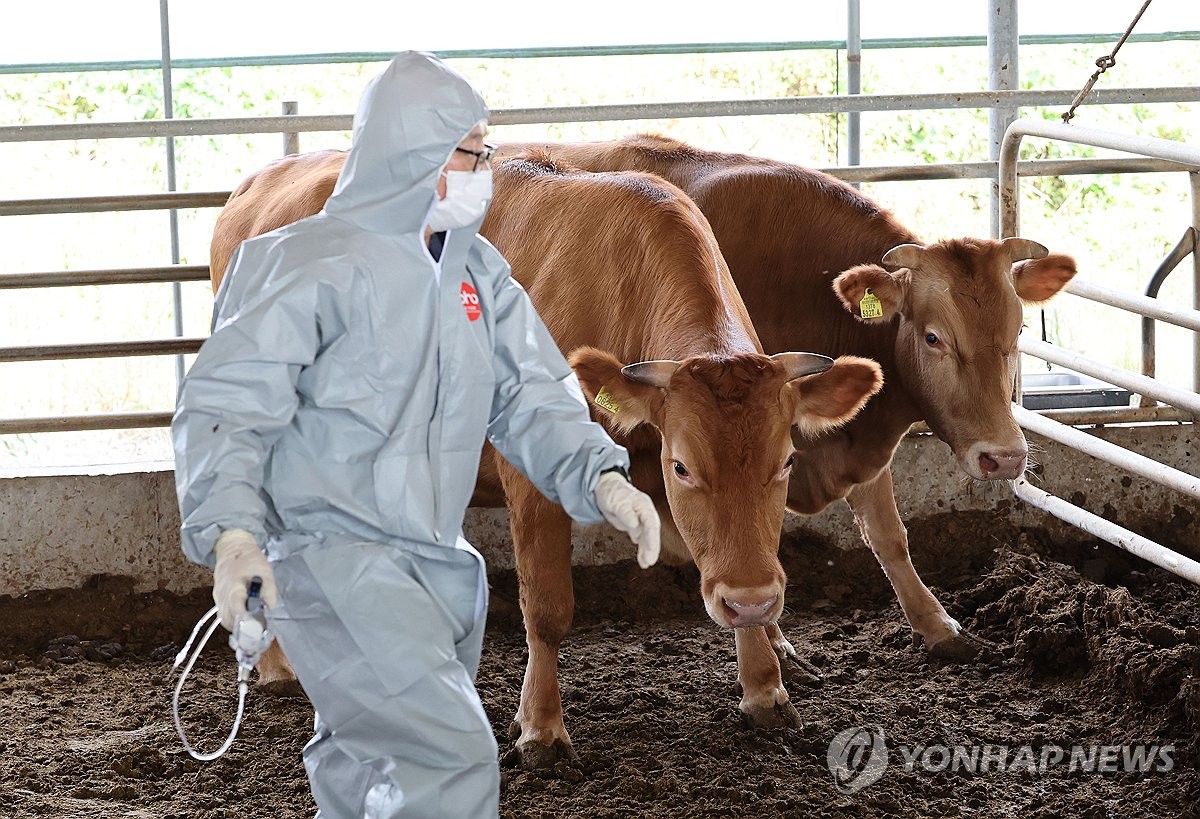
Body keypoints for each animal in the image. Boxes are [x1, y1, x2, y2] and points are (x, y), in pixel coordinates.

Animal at [496, 132, 1080, 658]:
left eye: (1019, 332)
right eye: (934, 337)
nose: (1005, 457)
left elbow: (888, 536)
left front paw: (937, 625)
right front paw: (772, 644)